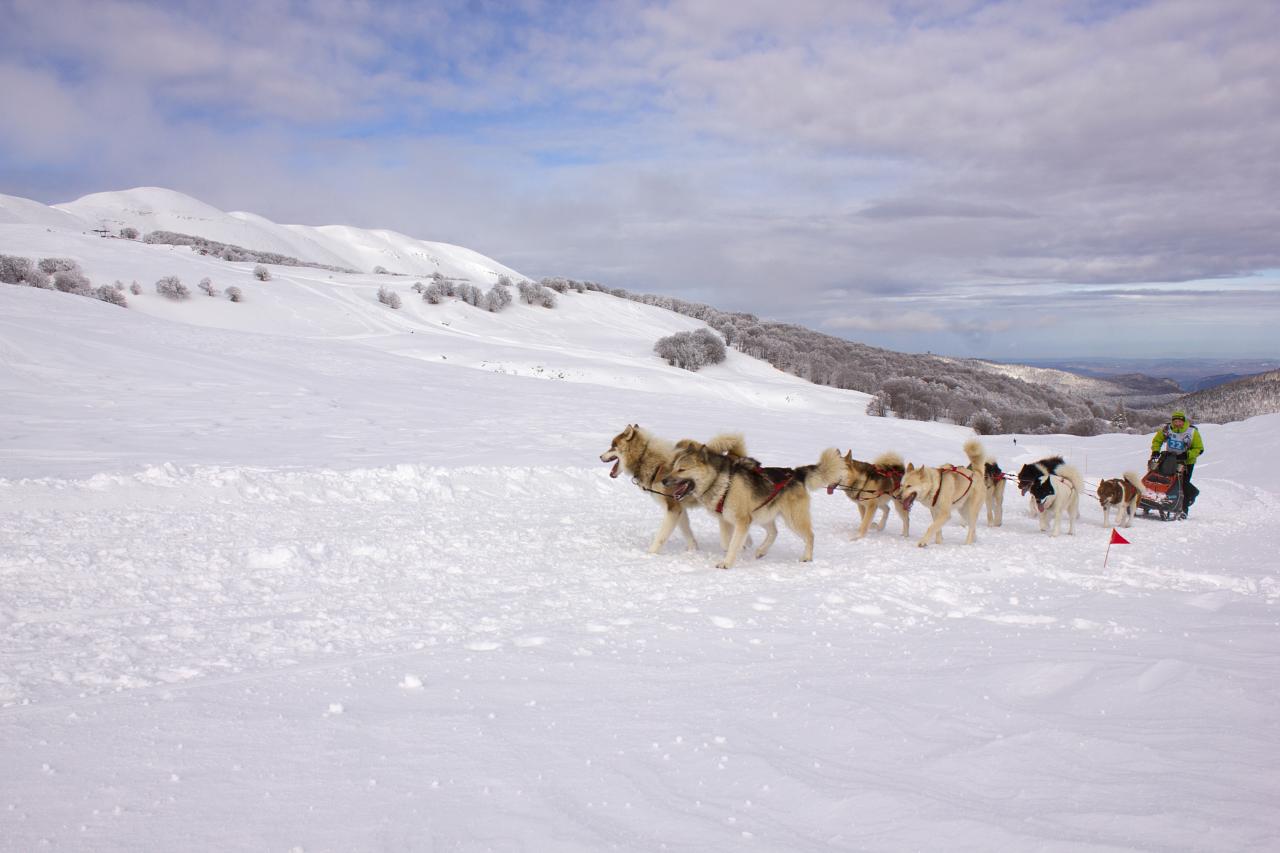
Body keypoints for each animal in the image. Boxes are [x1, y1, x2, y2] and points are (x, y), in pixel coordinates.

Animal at [601, 422, 747, 555]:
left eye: (612, 446)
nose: (600, 456)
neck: (651, 462)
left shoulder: (673, 509)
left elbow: (661, 536)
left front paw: (650, 553)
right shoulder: (678, 508)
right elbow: (687, 532)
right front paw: (693, 549)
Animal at [660, 435, 849, 568]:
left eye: (681, 469)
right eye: (673, 467)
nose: (663, 480)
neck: (721, 481)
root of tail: (796, 473)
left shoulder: (742, 521)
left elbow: (733, 543)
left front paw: (727, 563)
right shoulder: (726, 520)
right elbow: (726, 541)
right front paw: (736, 551)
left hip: (792, 519)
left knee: (810, 535)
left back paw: (807, 557)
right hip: (762, 515)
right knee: (774, 532)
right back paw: (761, 551)